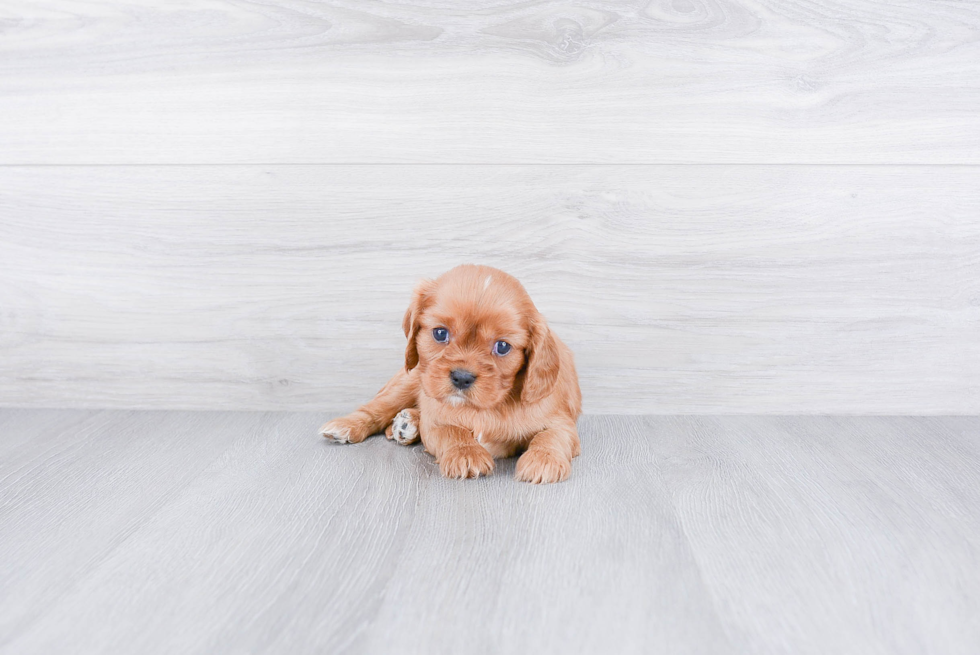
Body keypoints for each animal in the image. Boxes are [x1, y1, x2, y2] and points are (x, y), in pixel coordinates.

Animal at [322, 264, 580, 484]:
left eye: (502, 346)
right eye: (440, 333)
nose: (462, 378)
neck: (485, 409)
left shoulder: (561, 421)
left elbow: (551, 436)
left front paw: (543, 460)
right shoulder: (437, 419)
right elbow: (452, 431)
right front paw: (466, 454)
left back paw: (406, 423)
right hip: (410, 380)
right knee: (376, 408)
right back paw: (349, 426)